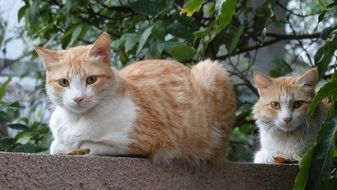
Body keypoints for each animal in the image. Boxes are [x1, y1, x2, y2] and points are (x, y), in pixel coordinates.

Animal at [33, 32, 234, 165]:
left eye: (91, 80)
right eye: (63, 82)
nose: (78, 99)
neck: (76, 120)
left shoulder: (143, 142)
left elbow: (89, 145)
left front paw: (80, 147)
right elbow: (56, 146)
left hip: (211, 70)